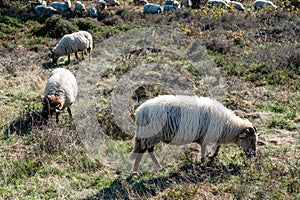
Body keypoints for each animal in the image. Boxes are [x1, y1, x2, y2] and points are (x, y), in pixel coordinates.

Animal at [129, 94, 258, 173]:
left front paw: (212, 157)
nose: (254, 155)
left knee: (148, 150)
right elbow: (204, 151)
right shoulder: (205, 137)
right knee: (143, 151)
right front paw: (203, 164)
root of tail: (139, 112)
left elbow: (218, 147)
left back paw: (156, 166)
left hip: (149, 136)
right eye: (250, 139)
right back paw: (137, 171)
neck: (227, 125)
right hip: (150, 135)